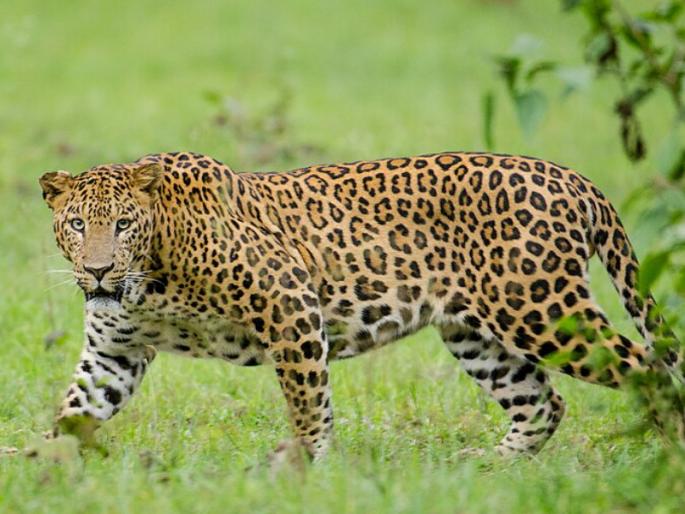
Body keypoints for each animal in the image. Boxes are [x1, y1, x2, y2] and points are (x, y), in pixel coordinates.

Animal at [39, 150, 684, 459]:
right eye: (77, 224)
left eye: (123, 225)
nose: (98, 270)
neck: (150, 278)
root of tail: (573, 177)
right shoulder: (115, 353)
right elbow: (74, 412)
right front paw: (41, 470)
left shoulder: (291, 303)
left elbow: (308, 405)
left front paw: (302, 470)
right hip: (476, 334)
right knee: (542, 403)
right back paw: (483, 468)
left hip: (541, 310)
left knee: (649, 370)